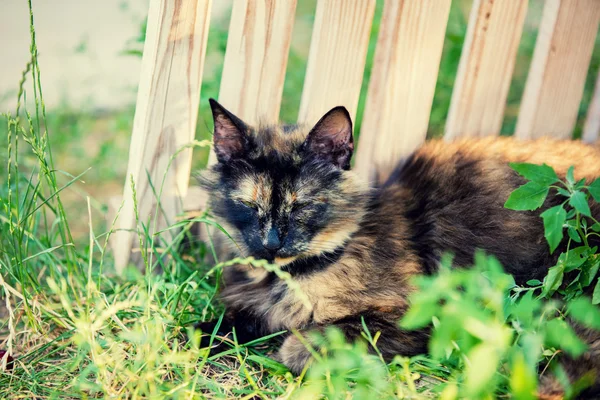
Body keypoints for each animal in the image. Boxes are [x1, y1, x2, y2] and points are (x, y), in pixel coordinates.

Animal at [197, 99, 600, 396]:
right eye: (249, 205)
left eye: (302, 206)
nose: (271, 243)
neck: (290, 277)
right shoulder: (252, 308)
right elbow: (216, 326)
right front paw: (200, 337)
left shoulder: (417, 313)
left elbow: (315, 337)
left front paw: (296, 349)